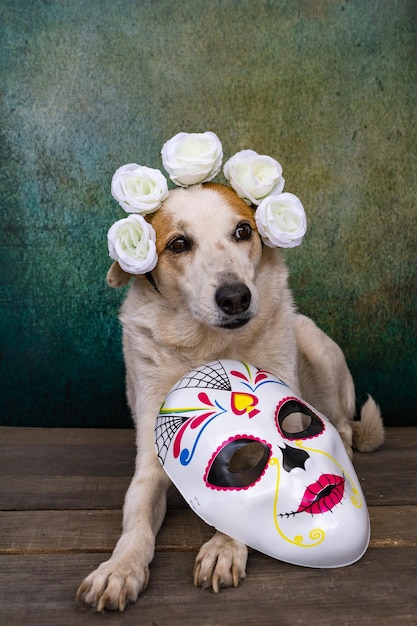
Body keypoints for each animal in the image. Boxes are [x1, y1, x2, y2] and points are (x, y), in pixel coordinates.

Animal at [76, 180, 382, 608]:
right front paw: (119, 570)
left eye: (242, 231)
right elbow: (136, 517)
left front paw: (223, 547)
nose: (236, 296)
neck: (209, 350)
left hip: (314, 348)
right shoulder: (150, 465)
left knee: (343, 425)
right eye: (178, 244)